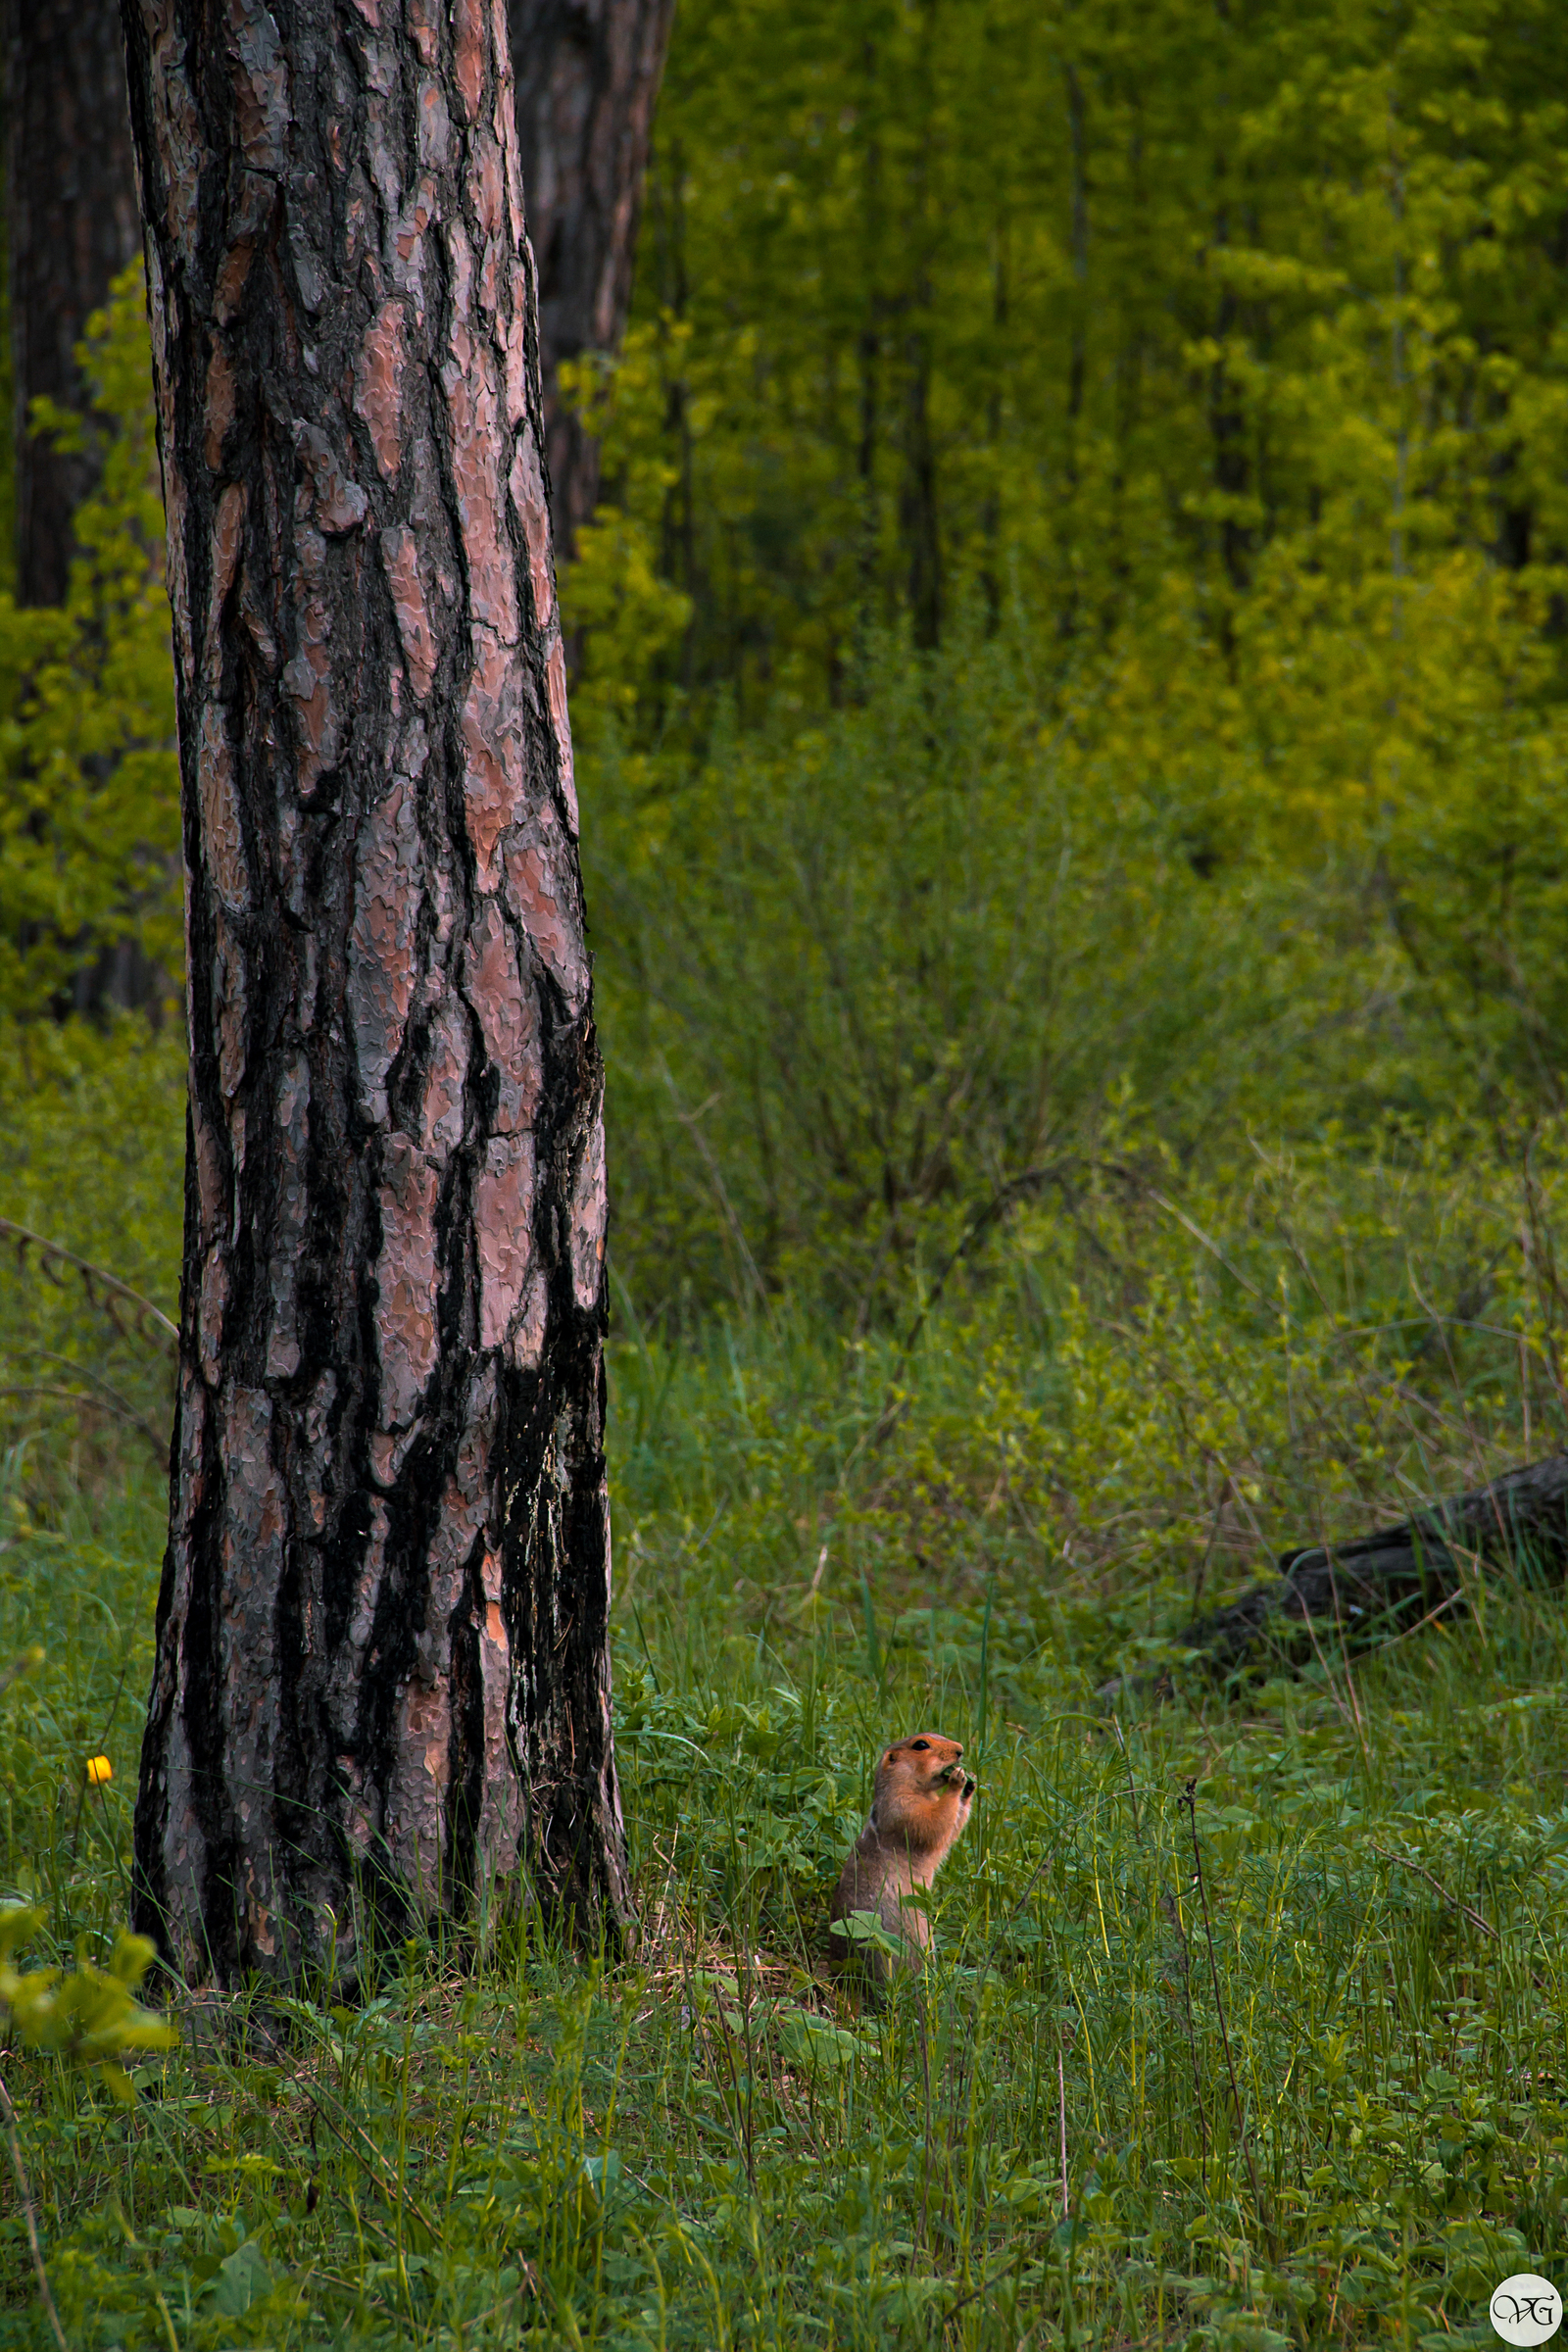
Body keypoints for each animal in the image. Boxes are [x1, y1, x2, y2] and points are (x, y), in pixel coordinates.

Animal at [827, 1731, 973, 1984]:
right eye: (921, 1745)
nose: (960, 1749)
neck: (913, 1788)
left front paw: (970, 1785)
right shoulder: (903, 1807)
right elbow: (933, 1822)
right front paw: (957, 1780)